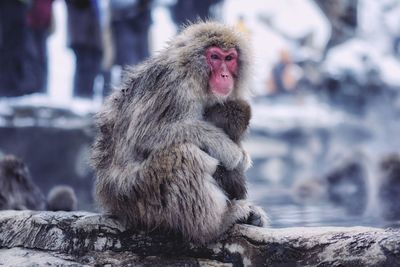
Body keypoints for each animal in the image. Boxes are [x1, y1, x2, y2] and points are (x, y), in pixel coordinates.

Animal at [92, 22, 268, 246]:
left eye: (229, 58)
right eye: (215, 56)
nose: (224, 75)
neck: (194, 74)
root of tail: (109, 200)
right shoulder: (175, 86)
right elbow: (146, 135)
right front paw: (230, 150)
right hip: (138, 196)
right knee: (184, 155)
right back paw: (215, 224)